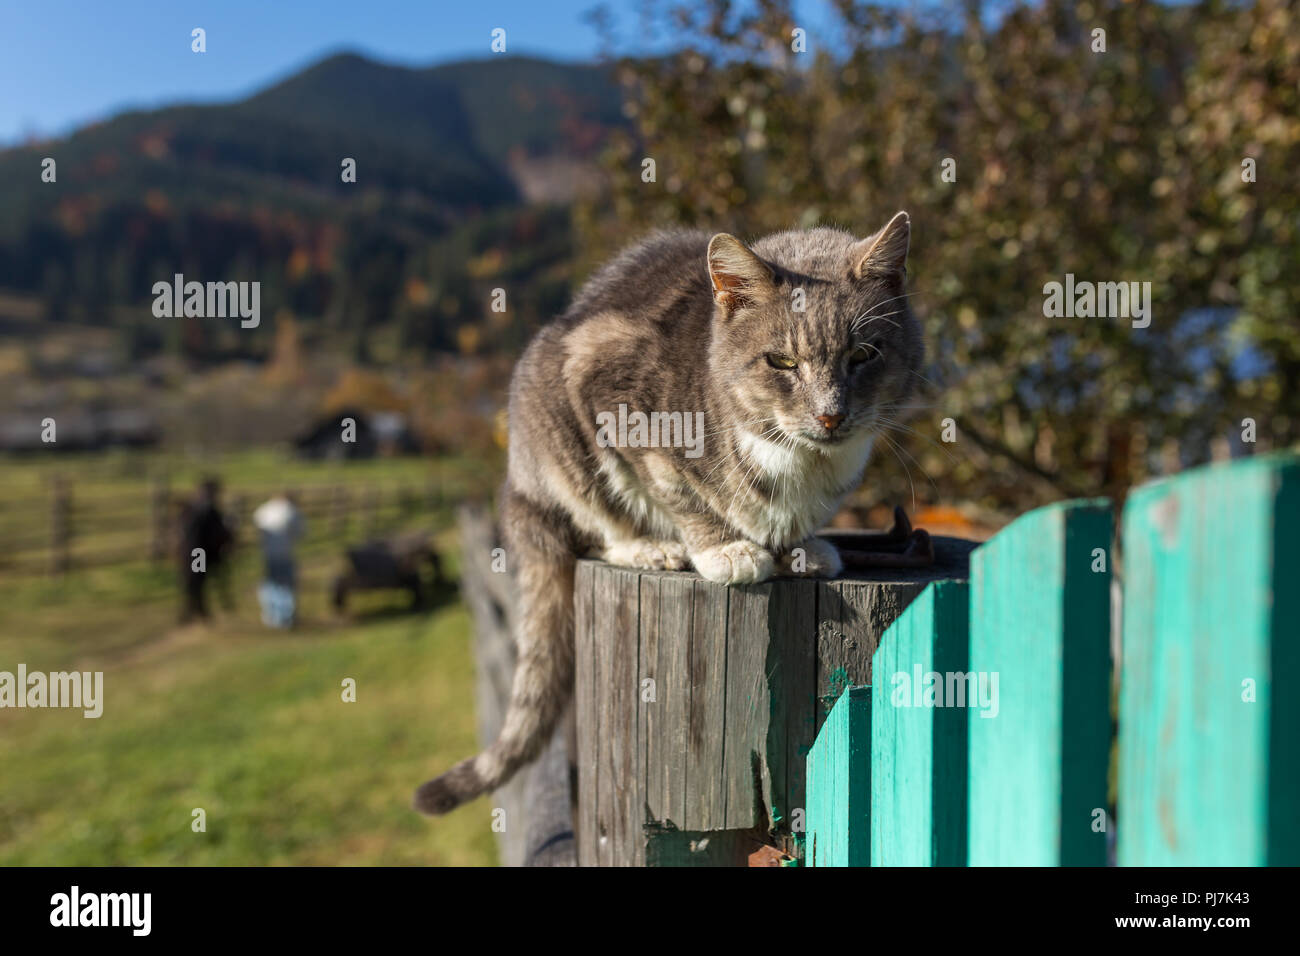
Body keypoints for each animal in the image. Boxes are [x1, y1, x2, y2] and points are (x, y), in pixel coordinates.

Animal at [416, 210, 925, 816]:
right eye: (781, 361)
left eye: (864, 355)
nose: (830, 416)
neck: (797, 460)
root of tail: (516, 489)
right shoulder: (618, 404)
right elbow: (678, 494)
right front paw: (725, 548)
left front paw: (799, 547)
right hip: (558, 444)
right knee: (595, 525)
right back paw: (649, 548)